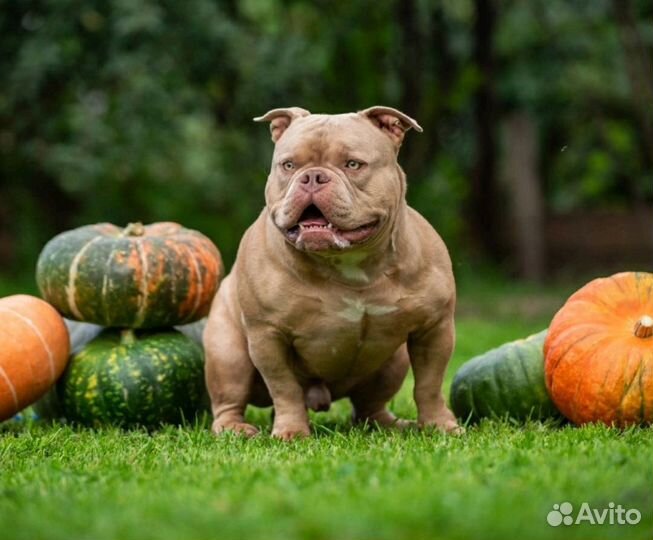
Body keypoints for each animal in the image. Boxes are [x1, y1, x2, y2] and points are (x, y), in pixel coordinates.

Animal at [204, 105, 458, 438]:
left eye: (353, 164)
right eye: (288, 165)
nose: (313, 176)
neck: (347, 262)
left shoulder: (434, 328)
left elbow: (430, 384)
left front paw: (440, 425)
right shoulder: (267, 336)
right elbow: (284, 388)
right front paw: (292, 431)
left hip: (394, 362)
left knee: (368, 407)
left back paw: (391, 425)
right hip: (228, 354)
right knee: (228, 401)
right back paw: (235, 428)